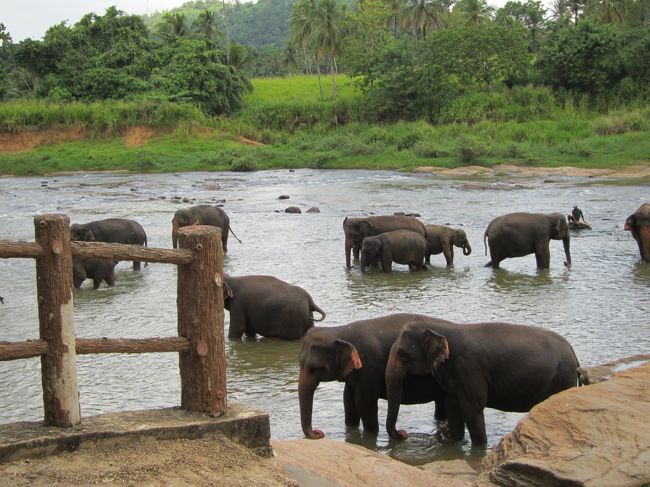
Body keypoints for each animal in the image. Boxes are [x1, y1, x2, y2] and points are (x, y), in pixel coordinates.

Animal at [298, 314, 440, 440]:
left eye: (317, 367)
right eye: (299, 362)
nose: (319, 432)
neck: (341, 331)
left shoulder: (368, 368)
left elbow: (365, 404)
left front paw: (369, 436)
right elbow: (348, 400)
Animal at [382, 316, 580, 446]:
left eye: (403, 354)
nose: (403, 433)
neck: (443, 328)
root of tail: (573, 353)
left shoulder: (469, 367)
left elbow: (472, 407)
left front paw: (479, 447)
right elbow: (453, 406)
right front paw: (454, 443)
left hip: (563, 377)